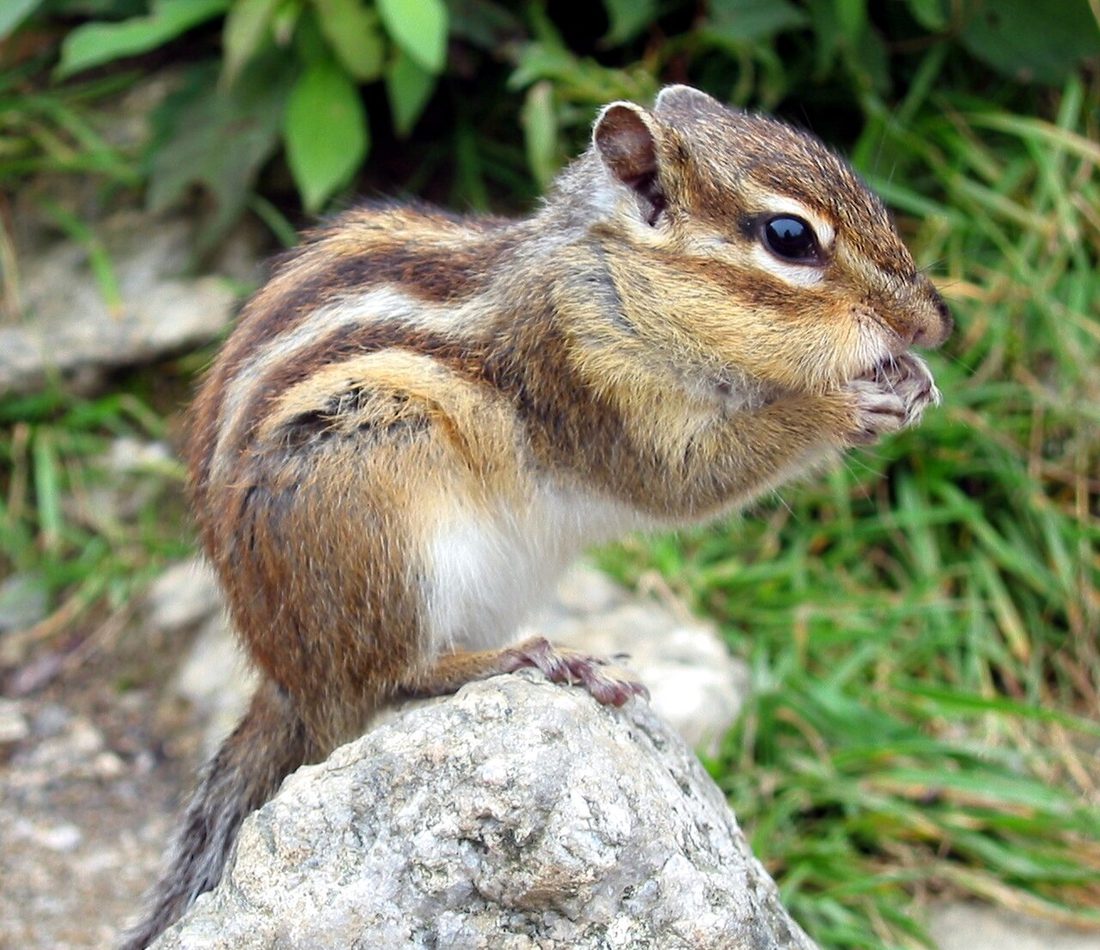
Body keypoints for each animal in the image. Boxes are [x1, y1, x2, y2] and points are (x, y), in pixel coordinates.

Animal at [123, 84, 951, 947]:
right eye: (789, 238)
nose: (937, 323)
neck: (610, 279)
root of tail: (285, 679)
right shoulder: (584, 377)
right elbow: (693, 479)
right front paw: (843, 404)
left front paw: (913, 378)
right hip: (378, 508)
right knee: (391, 679)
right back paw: (537, 660)